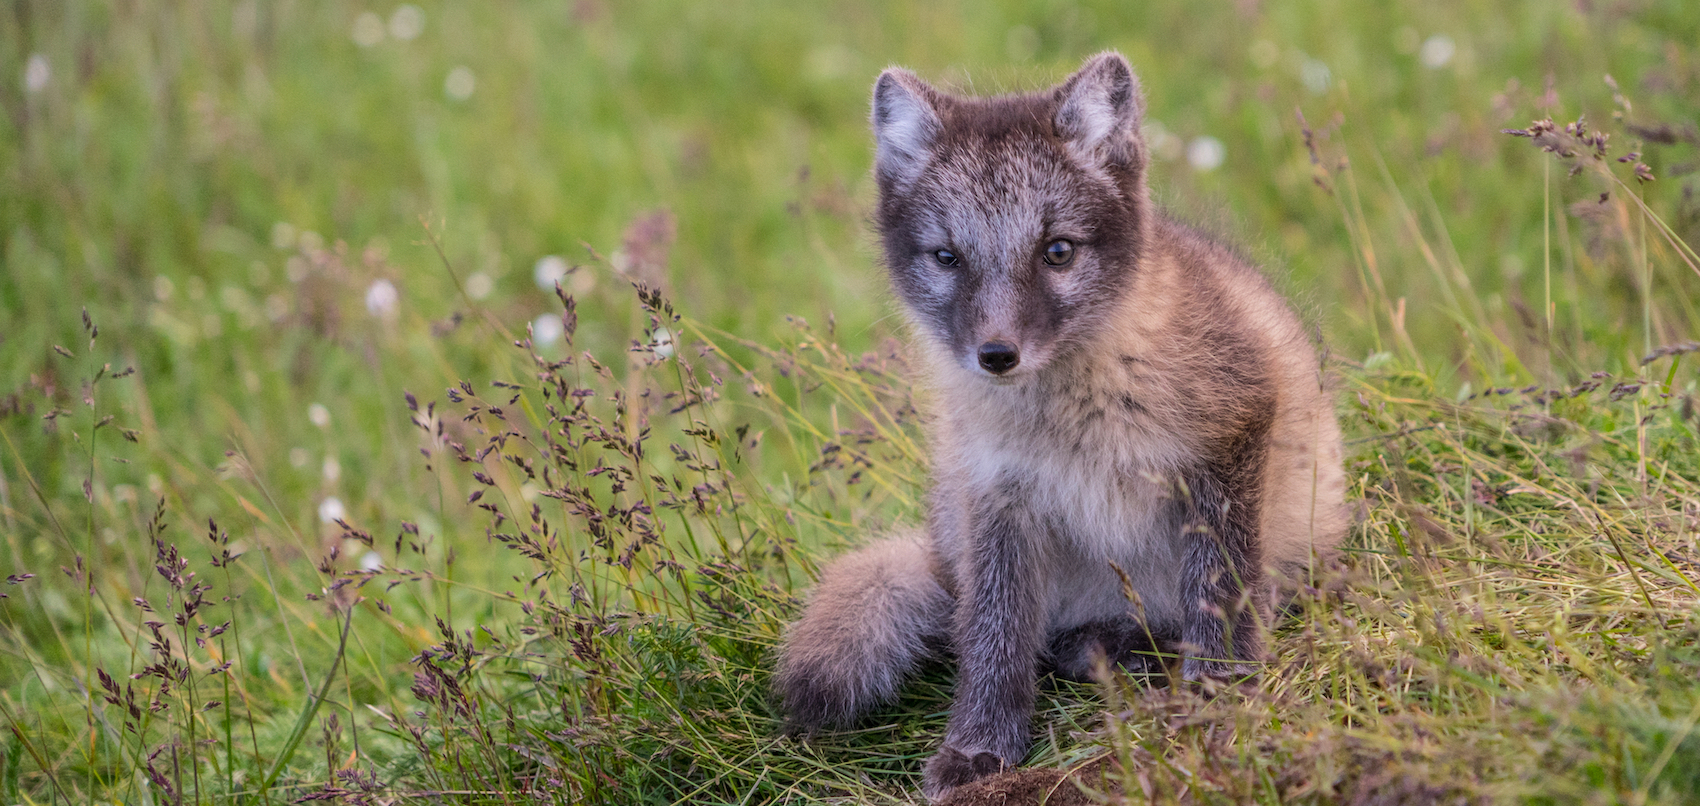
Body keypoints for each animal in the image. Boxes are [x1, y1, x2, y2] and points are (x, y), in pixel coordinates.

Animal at [774, 52, 1348, 801]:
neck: (1072, 419)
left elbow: (1219, 592)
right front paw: (979, 748)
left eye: (1057, 251)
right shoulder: (998, 495)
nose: (996, 355)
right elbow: (994, 635)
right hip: (960, 523)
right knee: (1018, 630)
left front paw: (1218, 696)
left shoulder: (1231, 433)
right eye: (947, 257)